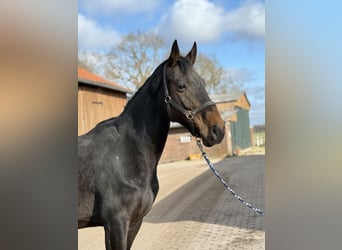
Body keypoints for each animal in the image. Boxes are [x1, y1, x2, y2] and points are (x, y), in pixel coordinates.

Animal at [79, 40, 226, 249]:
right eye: (181, 86)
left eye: (203, 83)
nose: (218, 130)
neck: (125, 156)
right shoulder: (115, 224)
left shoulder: (135, 223)